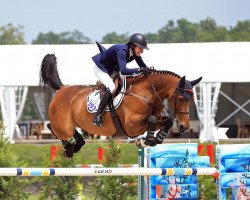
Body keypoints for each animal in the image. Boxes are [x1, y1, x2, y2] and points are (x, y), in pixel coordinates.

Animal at [40, 53, 202, 158]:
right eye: (180, 98)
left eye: (192, 100)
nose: (184, 126)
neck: (147, 92)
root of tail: (61, 89)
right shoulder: (131, 126)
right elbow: (151, 120)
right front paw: (148, 139)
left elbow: (166, 121)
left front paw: (156, 139)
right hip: (63, 126)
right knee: (52, 127)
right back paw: (68, 149)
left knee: (71, 133)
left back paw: (77, 144)